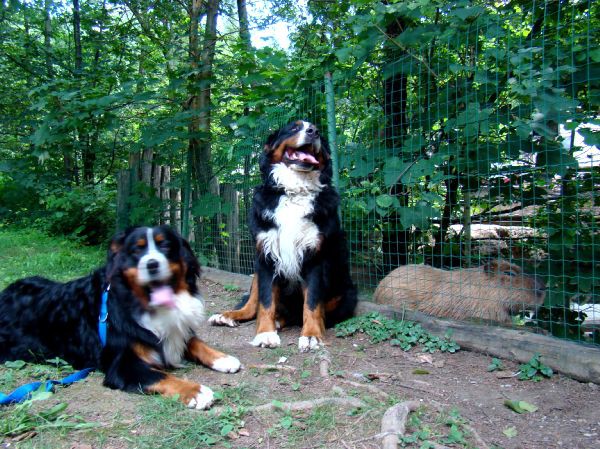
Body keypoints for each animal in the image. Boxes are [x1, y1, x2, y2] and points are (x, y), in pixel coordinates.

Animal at [0, 226, 239, 408]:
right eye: (137, 249)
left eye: (165, 245)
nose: (152, 264)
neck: (144, 305)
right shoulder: (123, 364)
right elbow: (162, 376)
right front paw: (196, 391)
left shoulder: (173, 331)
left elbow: (196, 342)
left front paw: (222, 358)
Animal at [210, 121, 356, 352]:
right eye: (294, 128)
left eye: (318, 131)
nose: (313, 132)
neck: (295, 191)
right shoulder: (266, 256)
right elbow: (265, 301)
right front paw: (265, 333)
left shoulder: (315, 258)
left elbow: (312, 303)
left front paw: (311, 335)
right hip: (256, 272)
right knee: (252, 306)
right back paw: (229, 316)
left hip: (346, 292)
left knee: (300, 314)